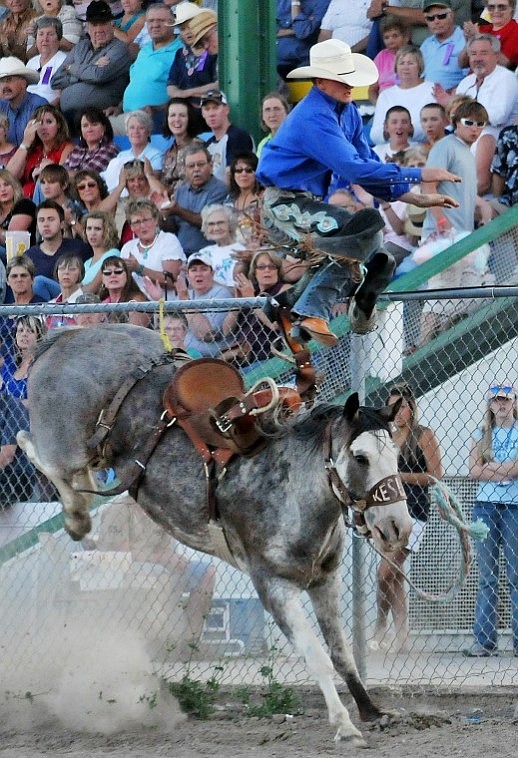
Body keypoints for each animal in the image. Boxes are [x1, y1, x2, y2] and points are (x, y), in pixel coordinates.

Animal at [18, 326, 412, 748]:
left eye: (397, 453)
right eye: (360, 457)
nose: (398, 526)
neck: (291, 485)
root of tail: (66, 335)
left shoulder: (324, 582)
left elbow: (341, 654)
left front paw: (372, 711)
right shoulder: (274, 588)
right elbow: (318, 658)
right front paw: (344, 725)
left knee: (76, 473)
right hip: (65, 445)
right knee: (41, 454)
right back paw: (76, 517)